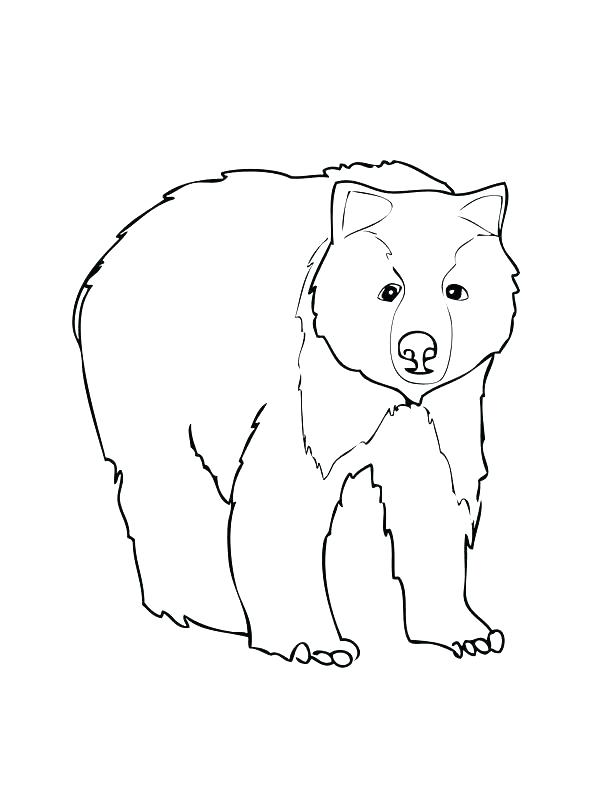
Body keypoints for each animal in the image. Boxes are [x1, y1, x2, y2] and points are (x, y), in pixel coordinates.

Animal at [73, 161, 518, 666]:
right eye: (389, 289)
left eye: (456, 289)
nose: (419, 349)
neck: (386, 391)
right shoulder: (312, 391)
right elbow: (286, 496)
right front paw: (319, 644)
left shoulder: (441, 412)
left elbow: (435, 498)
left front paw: (469, 633)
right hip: (154, 371)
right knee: (164, 479)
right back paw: (204, 605)